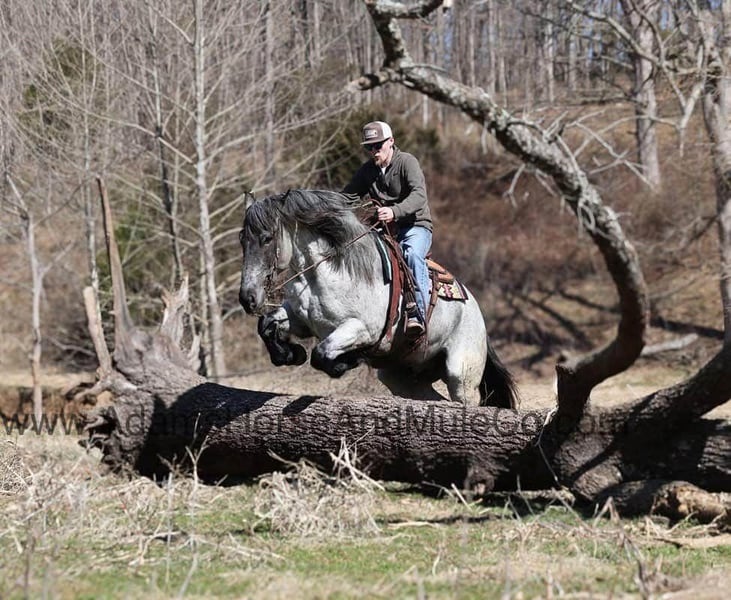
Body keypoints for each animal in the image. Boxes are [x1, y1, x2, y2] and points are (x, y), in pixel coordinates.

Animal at [238, 189, 518, 409]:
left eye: (267, 238)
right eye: (242, 239)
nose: (247, 298)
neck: (327, 271)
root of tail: (476, 311)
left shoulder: (362, 329)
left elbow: (321, 353)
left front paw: (348, 361)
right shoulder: (299, 320)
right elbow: (266, 325)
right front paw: (290, 353)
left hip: (461, 375)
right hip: (404, 380)